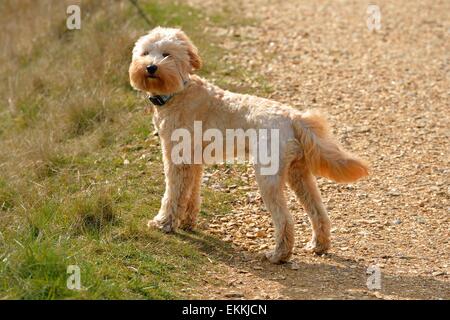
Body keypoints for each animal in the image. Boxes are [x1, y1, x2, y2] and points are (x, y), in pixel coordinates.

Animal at [128, 26, 368, 262]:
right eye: (146, 52)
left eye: (166, 54)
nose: (150, 67)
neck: (178, 92)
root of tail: (293, 117)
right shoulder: (194, 162)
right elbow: (190, 193)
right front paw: (187, 222)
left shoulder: (176, 159)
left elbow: (173, 194)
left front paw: (163, 223)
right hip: (299, 175)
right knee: (318, 212)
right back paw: (319, 245)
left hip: (268, 177)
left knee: (285, 219)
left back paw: (279, 254)